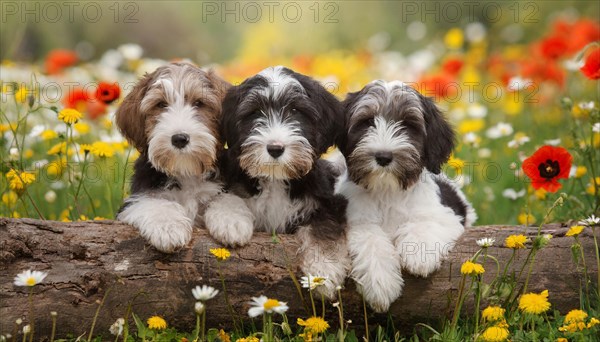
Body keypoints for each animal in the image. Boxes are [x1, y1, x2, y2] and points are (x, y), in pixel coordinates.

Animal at [116, 62, 229, 252]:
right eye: (161, 104)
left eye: (199, 103)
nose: (180, 138)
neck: (185, 171)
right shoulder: (135, 199)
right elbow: (154, 203)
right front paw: (169, 229)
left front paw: (231, 222)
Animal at [204, 67, 350, 296]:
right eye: (255, 112)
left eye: (295, 110)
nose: (275, 148)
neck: (276, 179)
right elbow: (228, 197)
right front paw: (230, 222)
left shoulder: (327, 200)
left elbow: (325, 227)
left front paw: (323, 270)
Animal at [336, 80, 476, 312]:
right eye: (367, 122)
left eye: (408, 125)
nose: (383, 156)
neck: (387, 191)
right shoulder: (357, 221)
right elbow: (371, 239)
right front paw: (381, 284)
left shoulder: (443, 215)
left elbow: (424, 222)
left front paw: (419, 254)